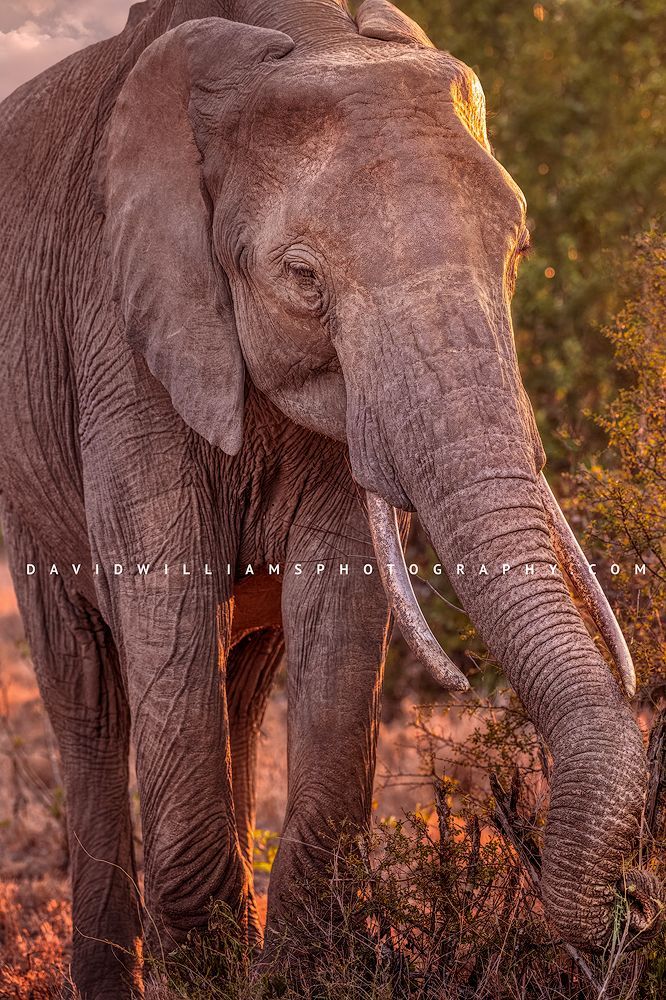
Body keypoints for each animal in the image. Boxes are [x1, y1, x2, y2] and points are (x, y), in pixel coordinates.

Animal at [0, 0, 661, 996]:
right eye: (304, 279)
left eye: (518, 255)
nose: (634, 910)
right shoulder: (118, 329)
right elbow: (166, 597)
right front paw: (211, 976)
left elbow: (341, 612)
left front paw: (294, 976)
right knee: (89, 694)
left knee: (241, 682)